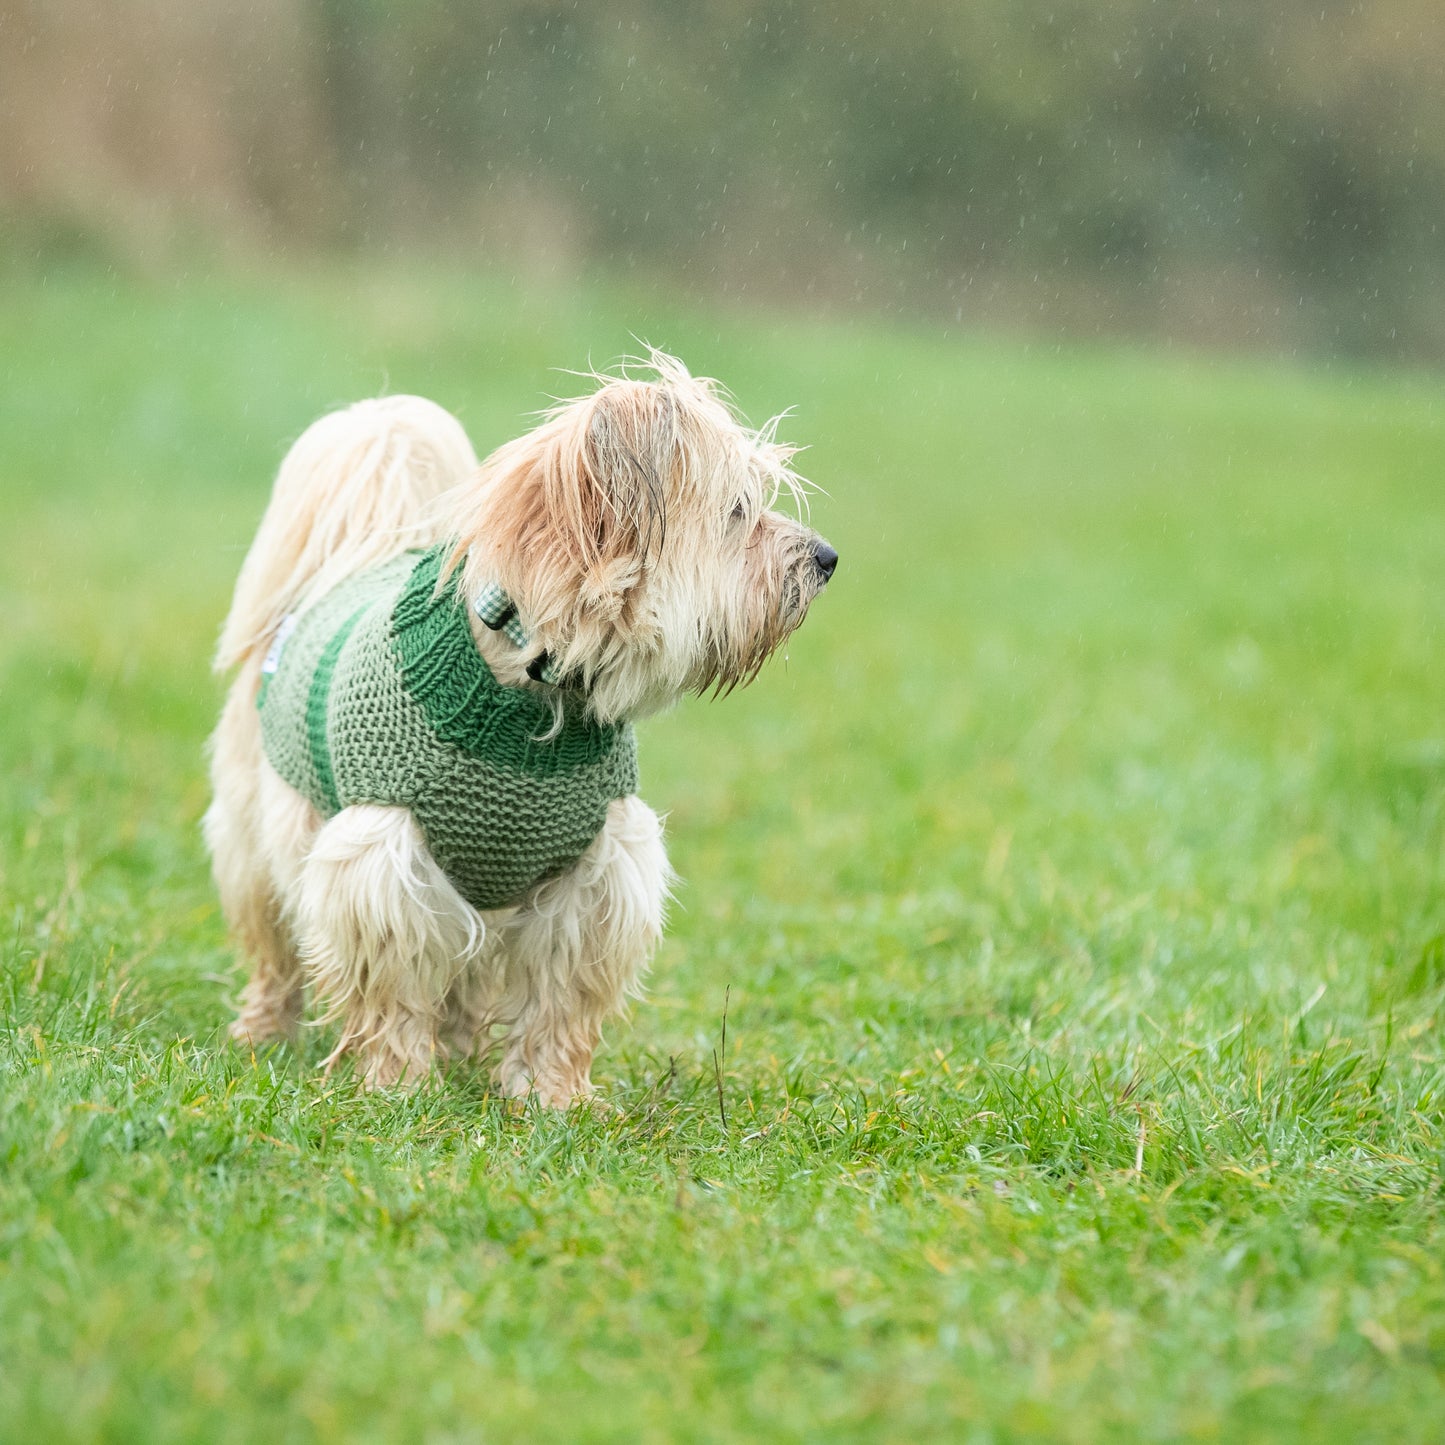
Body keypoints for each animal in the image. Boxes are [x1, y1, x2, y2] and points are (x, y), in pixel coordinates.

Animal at [203, 358, 838, 1103]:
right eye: (737, 511)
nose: (827, 557)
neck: (532, 691)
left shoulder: (593, 875)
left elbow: (559, 1001)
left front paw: (551, 1094)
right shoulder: (383, 866)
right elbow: (394, 989)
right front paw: (397, 1084)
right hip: (258, 841)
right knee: (275, 949)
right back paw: (265, 1031)